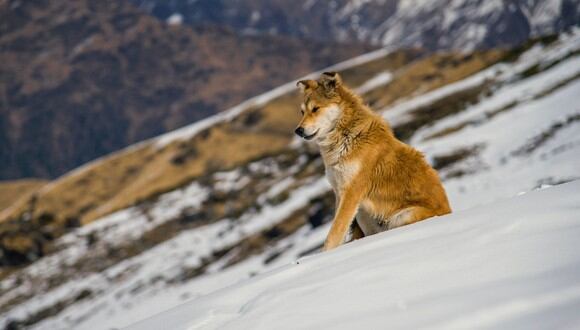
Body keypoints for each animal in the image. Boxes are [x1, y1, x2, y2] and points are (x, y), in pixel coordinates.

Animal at [296, 70, 450, 250]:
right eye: (302, 112)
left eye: (315, 109)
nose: (298, 130)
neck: (346, 136)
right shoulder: (339, 192)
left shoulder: (351, 192)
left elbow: (334, 232)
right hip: (365, 213)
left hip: (402, 216)